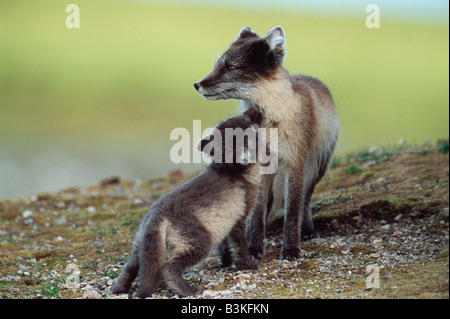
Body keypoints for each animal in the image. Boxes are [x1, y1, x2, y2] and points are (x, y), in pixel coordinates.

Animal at [110, 108, 262, 300]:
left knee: (129, 268)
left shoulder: (225, 221)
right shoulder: (239, 219)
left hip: (139, 245)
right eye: (250, 123)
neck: (233, 172)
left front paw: (226, 263)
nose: (256, 109)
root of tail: (157, 214)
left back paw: (119, 290)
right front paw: (247, 266)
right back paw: (188, 291)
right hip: (200, 242)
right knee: (168, 267)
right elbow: (239, 247)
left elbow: (224, 247)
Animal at [193, 26, 338, 262]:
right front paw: (254, 247)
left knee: (306, 200)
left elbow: (292, 210)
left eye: (230, 67)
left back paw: (307, 230)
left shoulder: (294, 163)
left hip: (316, 168)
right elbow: (258, 212)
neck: (270, 122)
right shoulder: (259, 166)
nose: (197, 85)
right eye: (218, 64)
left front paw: (290, 249)